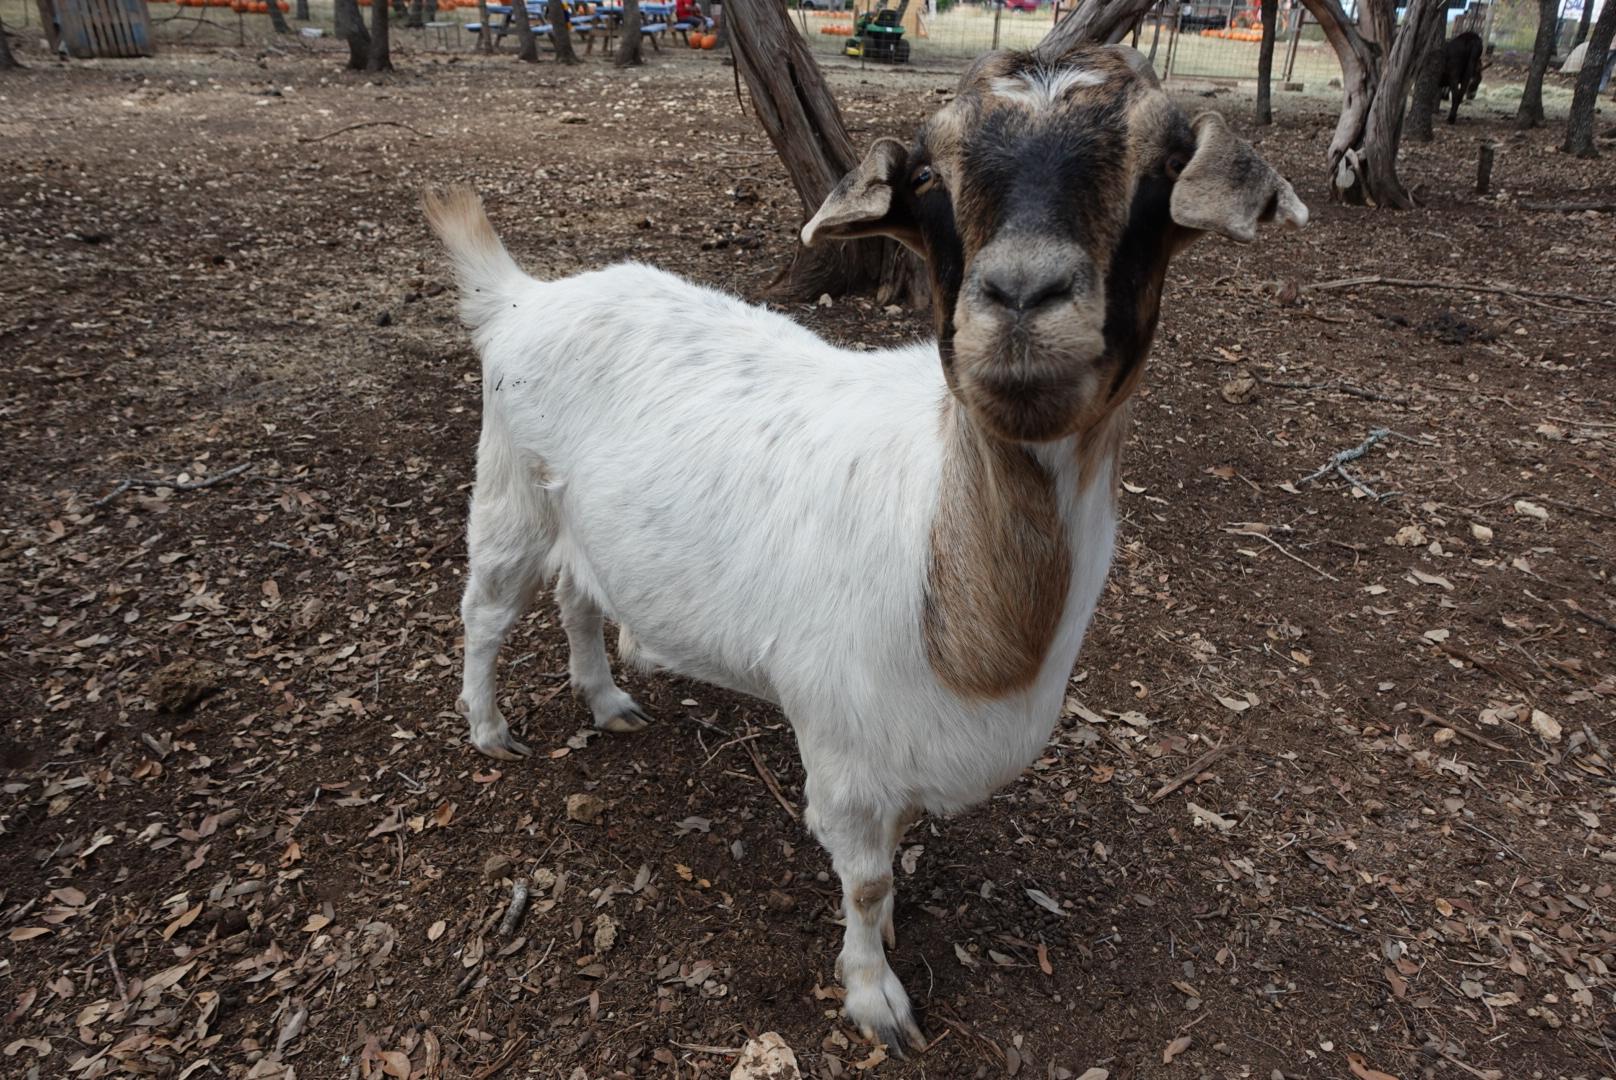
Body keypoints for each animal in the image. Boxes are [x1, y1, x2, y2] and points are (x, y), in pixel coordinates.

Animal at [427, 43, 1306, 1052]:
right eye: (928, 178)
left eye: (1164, 167)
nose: (1021, 296)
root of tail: (525, 296)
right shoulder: (842, 747)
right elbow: (865, 875)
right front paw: (875, 997)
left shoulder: (901, 748)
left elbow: (894, 855)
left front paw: (887, 939)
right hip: (510, 489)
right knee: (486, 612)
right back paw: (489, 729)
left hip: (584, 522)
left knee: (579, 596)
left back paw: (607, 701)